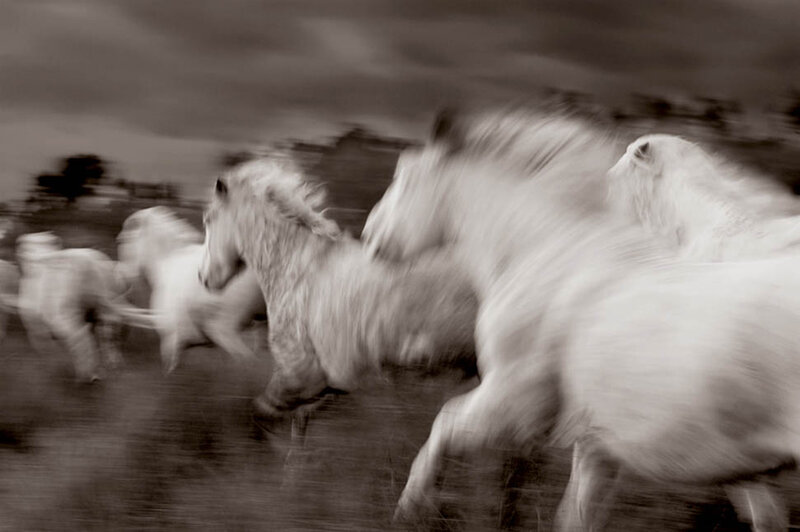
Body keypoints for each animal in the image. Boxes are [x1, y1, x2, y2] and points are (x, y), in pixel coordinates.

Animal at [16, 231, 157, 382]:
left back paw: (86, 375)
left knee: (80, 336)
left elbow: (44, 345)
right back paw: (110, 366)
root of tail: (87, 263)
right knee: (108, 333)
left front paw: (50, 366)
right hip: (104, 307)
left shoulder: (33, 320)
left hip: (66, 314)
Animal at [117, 206, 267, 374]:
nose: (122, 278)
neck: (166, 263)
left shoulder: (172, 339)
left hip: (223, 330)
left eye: (123, 240)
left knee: (249, 362)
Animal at [197, 158, 478, 446]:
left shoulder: (297, 376)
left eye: (209, 219)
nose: (204, 277)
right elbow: (296, 432)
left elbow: (261, 415)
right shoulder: (328, 387)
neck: (296, 269)